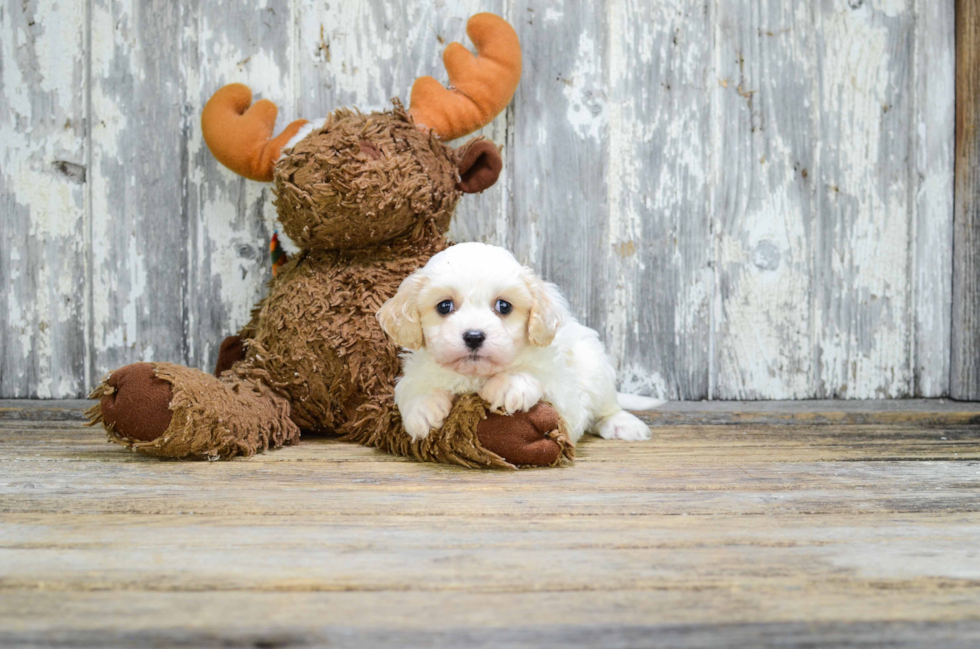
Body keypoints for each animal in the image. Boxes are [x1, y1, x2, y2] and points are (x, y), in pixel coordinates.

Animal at [378, 240, 664, 442]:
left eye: (504, 306)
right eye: (444, 306)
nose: (474, 336)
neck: (475, 376)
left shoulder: (568, 401)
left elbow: (538, 376)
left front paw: (509, 384)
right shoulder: (416, 371)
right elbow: (409, 387)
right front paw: (422, 407)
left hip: (594, 367)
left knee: (607, 405)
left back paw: (622, 423)